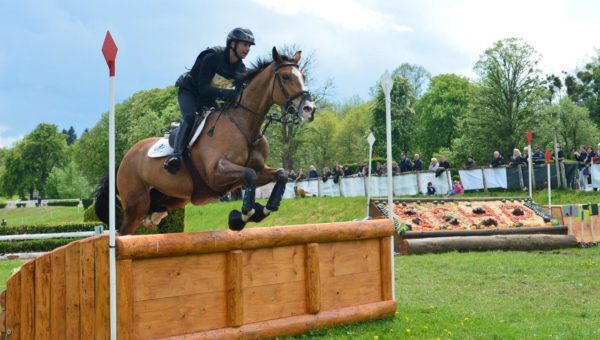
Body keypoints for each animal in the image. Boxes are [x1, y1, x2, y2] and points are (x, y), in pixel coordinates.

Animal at [96, 46, 316, 235]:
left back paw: (154, 217)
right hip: (136, 204)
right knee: (122, 232)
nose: (309, 109)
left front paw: (262, 210)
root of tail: (124, 159)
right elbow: (250, 174)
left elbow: (280, 174)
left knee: (153, 212)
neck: (245, 125)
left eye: (303, 77)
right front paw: (242, 216)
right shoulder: (216, 173)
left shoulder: (257, 172)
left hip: (172, 198)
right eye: (286, 77)